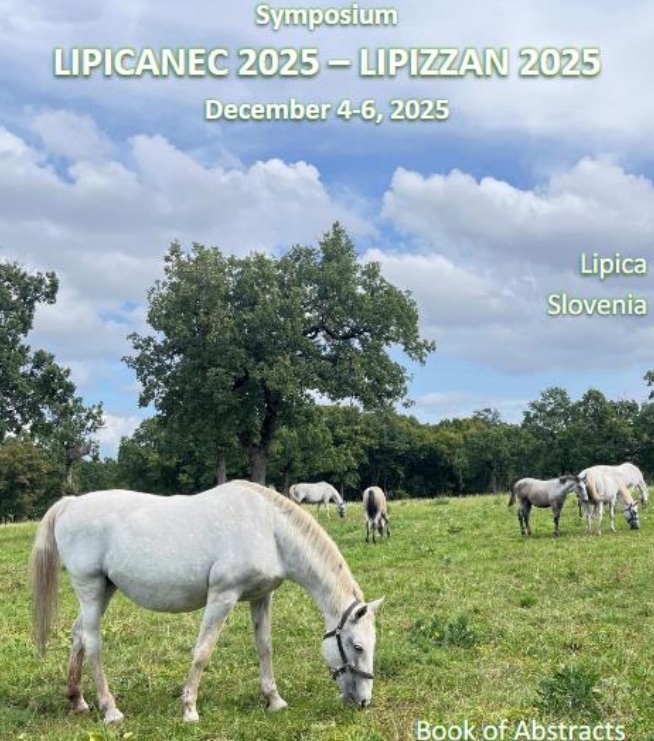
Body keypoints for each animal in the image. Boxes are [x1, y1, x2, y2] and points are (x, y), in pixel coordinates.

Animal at [29, 480, 383, 724]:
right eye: (357, 646)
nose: (365, 702)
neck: (269, 528)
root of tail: (70, 504)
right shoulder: (223, 596)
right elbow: (203, 651)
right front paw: (189, 708)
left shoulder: (261, 596)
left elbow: (265, 647)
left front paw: (274, 700)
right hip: (90, 588)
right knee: (93, 643)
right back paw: (110, 710)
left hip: (105, 589)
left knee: (78, 634)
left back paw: (77, 701)